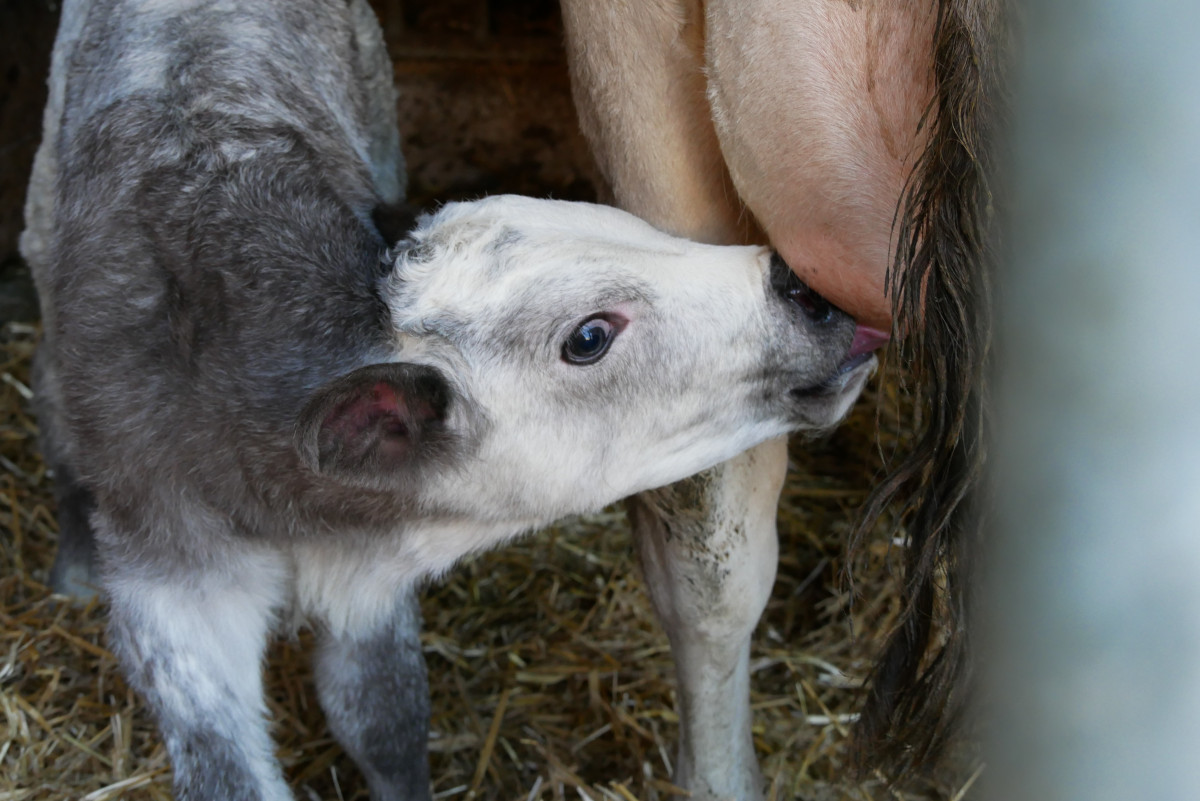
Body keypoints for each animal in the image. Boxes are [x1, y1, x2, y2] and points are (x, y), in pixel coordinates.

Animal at [18, 1, 873, 801]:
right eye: (589, 335)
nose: (808, 289)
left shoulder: (366, 583)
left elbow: (385, 716)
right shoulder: (173, 599)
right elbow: (227, 770)